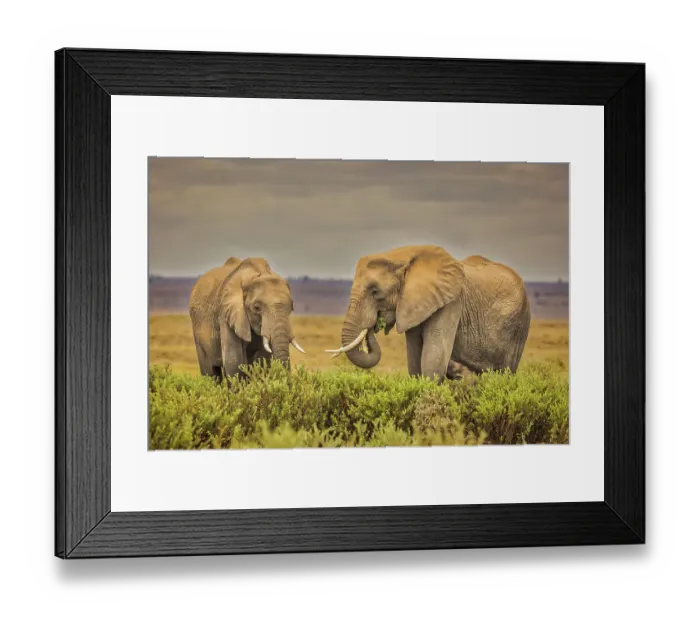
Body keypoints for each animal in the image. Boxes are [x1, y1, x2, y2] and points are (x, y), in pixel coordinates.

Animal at [326, 245, 531, 381]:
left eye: (375, 292)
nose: (375, 323)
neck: (402, 256)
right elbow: (414, 363)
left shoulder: (451, 302)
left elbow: (432, 362)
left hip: (518, 326)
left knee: (505, 373)